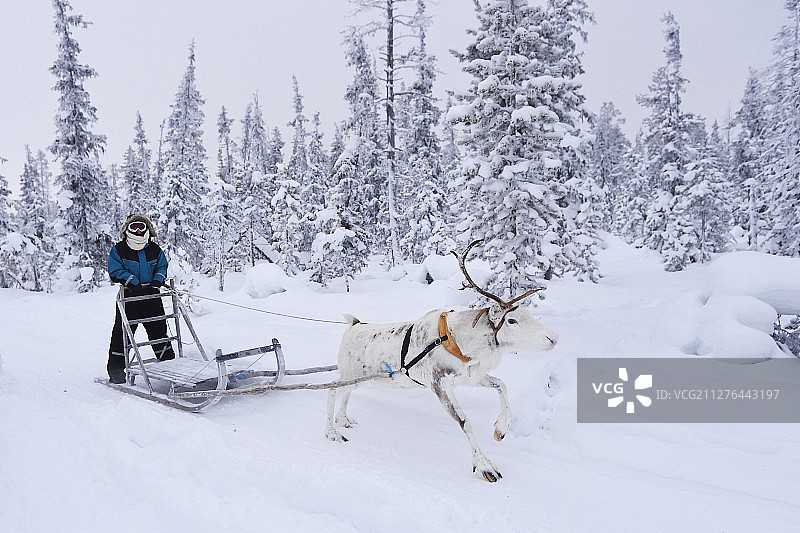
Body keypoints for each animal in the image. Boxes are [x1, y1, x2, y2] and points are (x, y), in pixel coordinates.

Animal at [326, 240, 559, 482]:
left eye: (528, 314)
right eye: (511, 320)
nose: (553, 337)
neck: (460, 341)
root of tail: (352, 325)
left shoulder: (468, 376)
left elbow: (501, 385)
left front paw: (501, 429)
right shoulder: (439, 384)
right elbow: (465, 422)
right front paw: (485, 466)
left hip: (358, 378)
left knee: (345, 392)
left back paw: (344, 420)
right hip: (351, 375)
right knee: (332, 388)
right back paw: (332, 432)